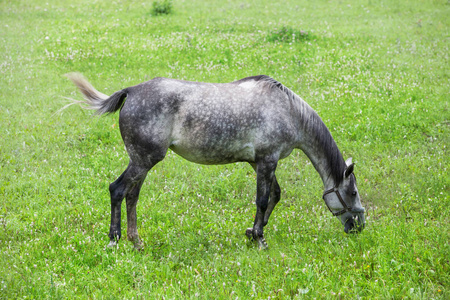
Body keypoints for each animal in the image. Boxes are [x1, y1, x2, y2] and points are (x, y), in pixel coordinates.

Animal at [68, 74, 368, 250]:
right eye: (352, 192)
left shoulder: (258, 163)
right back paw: (114, 240)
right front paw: (260, 239)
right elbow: (263, 200)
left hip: (142, 162)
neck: (289, 112)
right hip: (143, 160)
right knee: (117, 190)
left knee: (132, 196)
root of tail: (131, 91)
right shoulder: (268, 161)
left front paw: (252, 232)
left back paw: (137, 241)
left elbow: (274, 196)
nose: (360, 227)